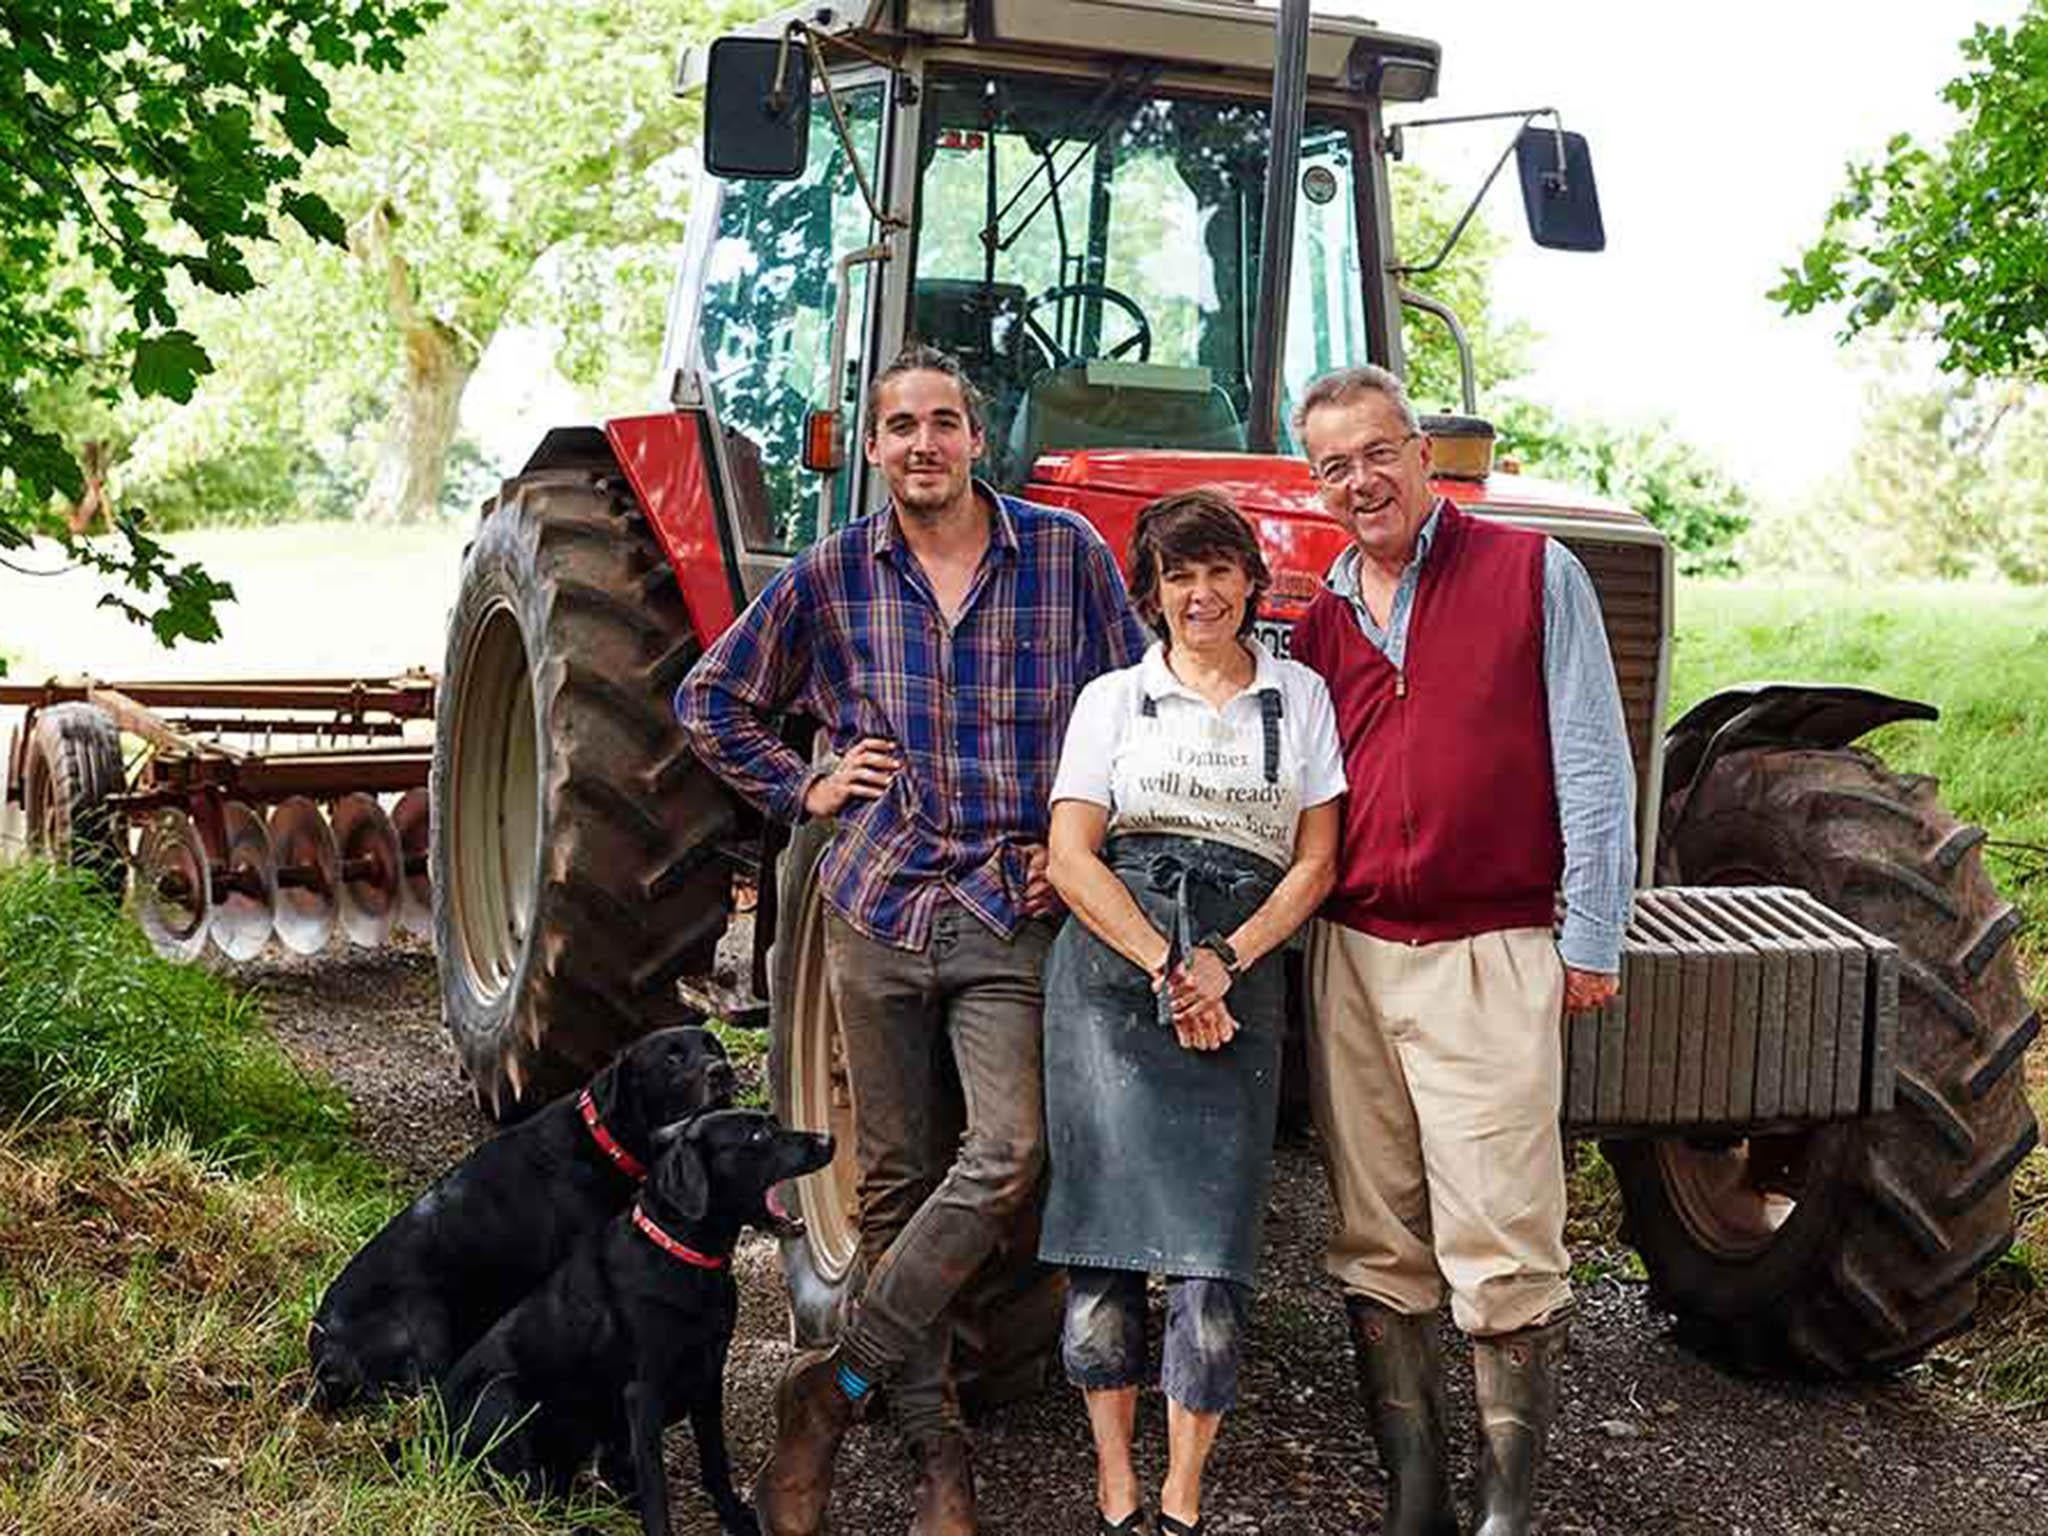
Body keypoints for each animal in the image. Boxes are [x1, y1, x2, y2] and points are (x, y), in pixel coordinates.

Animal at [311, 1028, 737, 1417]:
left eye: (714, 1046)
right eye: (671, 1058)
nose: (722, 1071)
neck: (601, 1141)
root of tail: (323, 1358)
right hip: (425, 1318)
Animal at [444, 1114, 835, 1536]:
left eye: (775, 1123)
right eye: (759, 1135)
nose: (829, 1140)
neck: (683, 1257)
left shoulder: (709, 1375)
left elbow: (715, 1461)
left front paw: (734, 1516)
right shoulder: (643, 1395)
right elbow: (655, 1489)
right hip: (501, 1397)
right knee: (533, 1496)